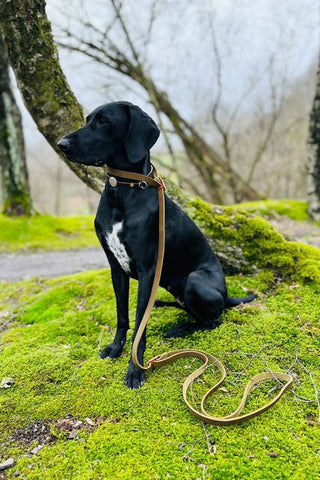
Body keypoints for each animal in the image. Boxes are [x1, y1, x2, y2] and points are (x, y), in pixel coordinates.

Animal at [57, 102, 255, 390]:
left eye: (104, 122)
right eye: (88, 119)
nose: (61, 144)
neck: (123, 191)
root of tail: (227, 293)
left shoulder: (148, 270)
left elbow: (140, 324)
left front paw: (135, 370)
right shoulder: (116, 267)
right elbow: (122, 316)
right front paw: (115, 349)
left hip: (195, 280)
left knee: (213, 320)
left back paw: (179, 329)